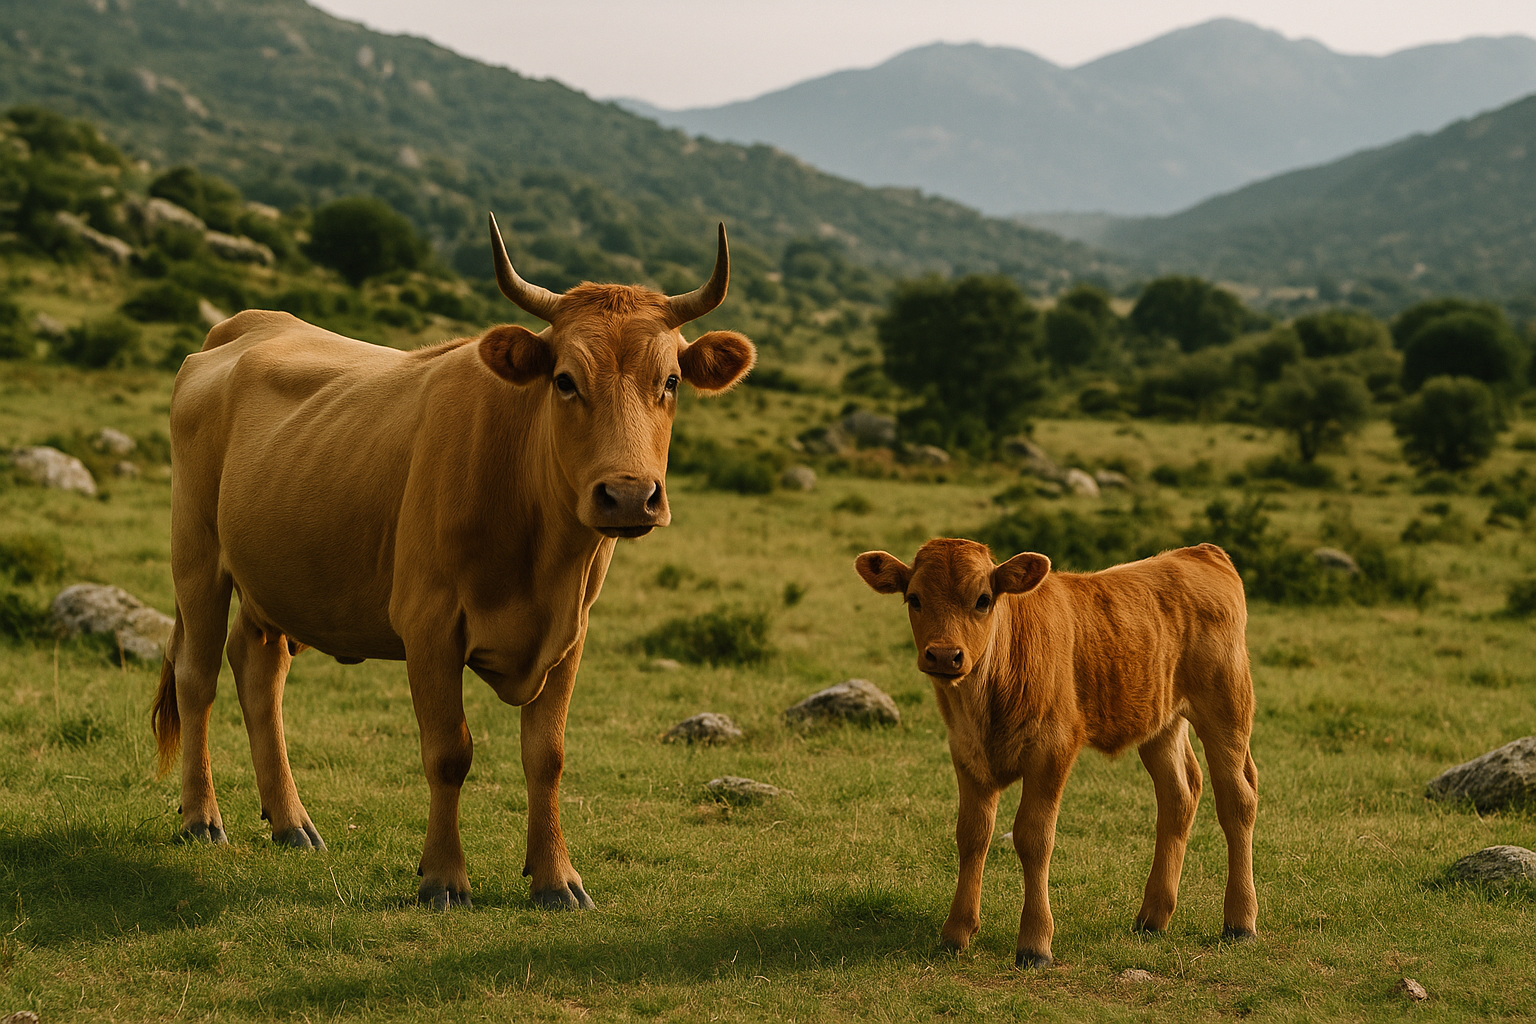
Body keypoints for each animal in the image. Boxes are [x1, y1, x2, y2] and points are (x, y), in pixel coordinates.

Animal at [151, 214, 756, 910]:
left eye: (671, 381)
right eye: (565, 380)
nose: (629, 494)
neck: (541, 554)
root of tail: (242, 327)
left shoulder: (570, 636)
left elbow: (546, 757)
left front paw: (557, 878)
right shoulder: (429, 626)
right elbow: (448, 752)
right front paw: (443, 878)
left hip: (271, 580)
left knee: (259, 677)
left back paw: (291, 823)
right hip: (197, 556)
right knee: (197, 677)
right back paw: (202, 818)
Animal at [854, 539, 1257, 967]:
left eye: (983, 599)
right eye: (914, 598)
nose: (945, 655)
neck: (985, 700)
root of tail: (1198, 551)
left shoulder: (1052, 750)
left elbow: (1034, 837)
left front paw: (1035, 943)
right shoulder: (965, 752)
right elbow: (972, 834)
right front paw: (956, 932)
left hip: (1226, 707)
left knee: (1237, 800)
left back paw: (1240, 923)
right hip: (1160, 720)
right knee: (1178, 795)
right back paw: (1153, 917)